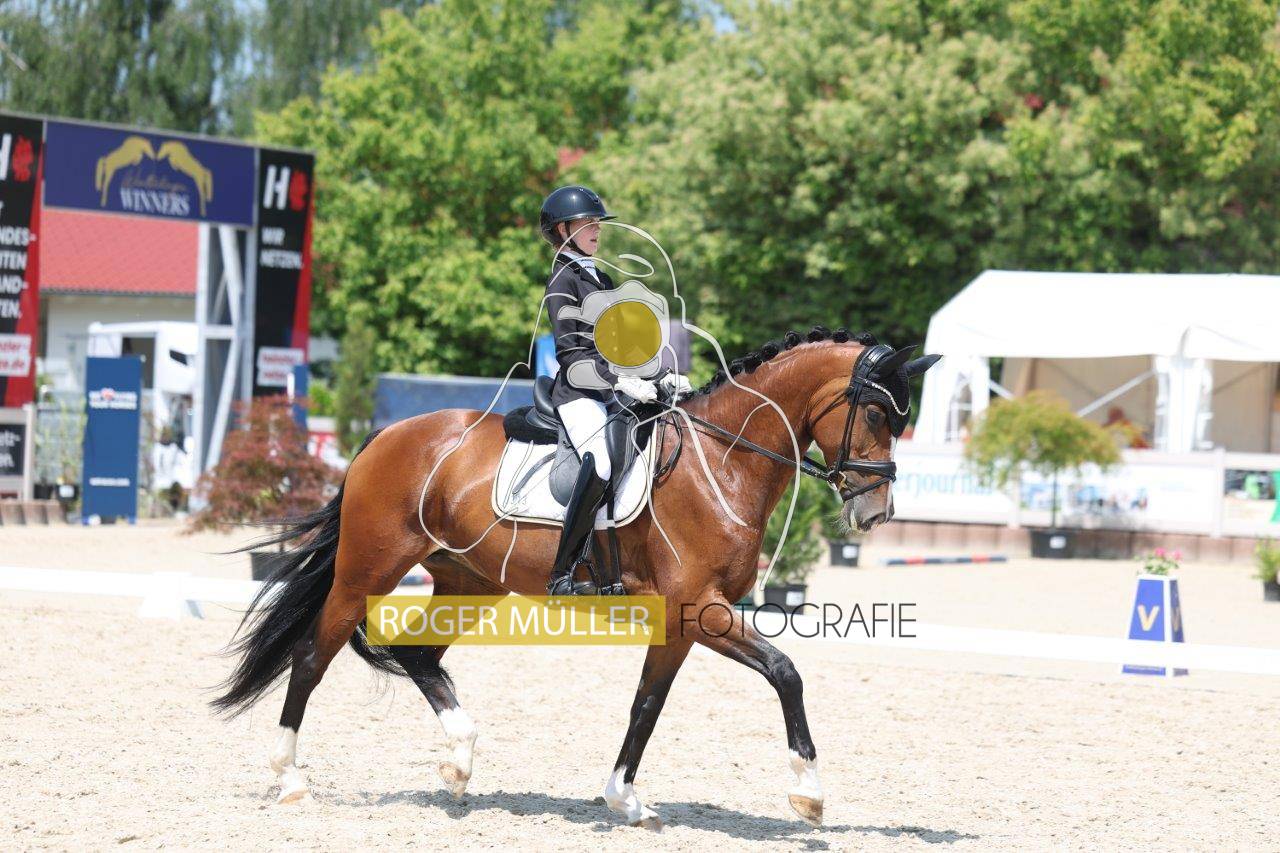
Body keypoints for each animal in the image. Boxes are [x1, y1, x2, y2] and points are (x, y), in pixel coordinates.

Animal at [213, 325, 938, 830]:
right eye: (879, 414)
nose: (876, 511)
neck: (723, 460)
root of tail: (382, 437)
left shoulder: (681, 619)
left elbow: (647, 704)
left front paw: (626, 799)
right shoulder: (698, 609)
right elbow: (785, 671)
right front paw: (808, 794)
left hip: (470, 582)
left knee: (416, 655)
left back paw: (459, 762)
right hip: (367, 570)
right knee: (312, 657)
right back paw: (291, 779)